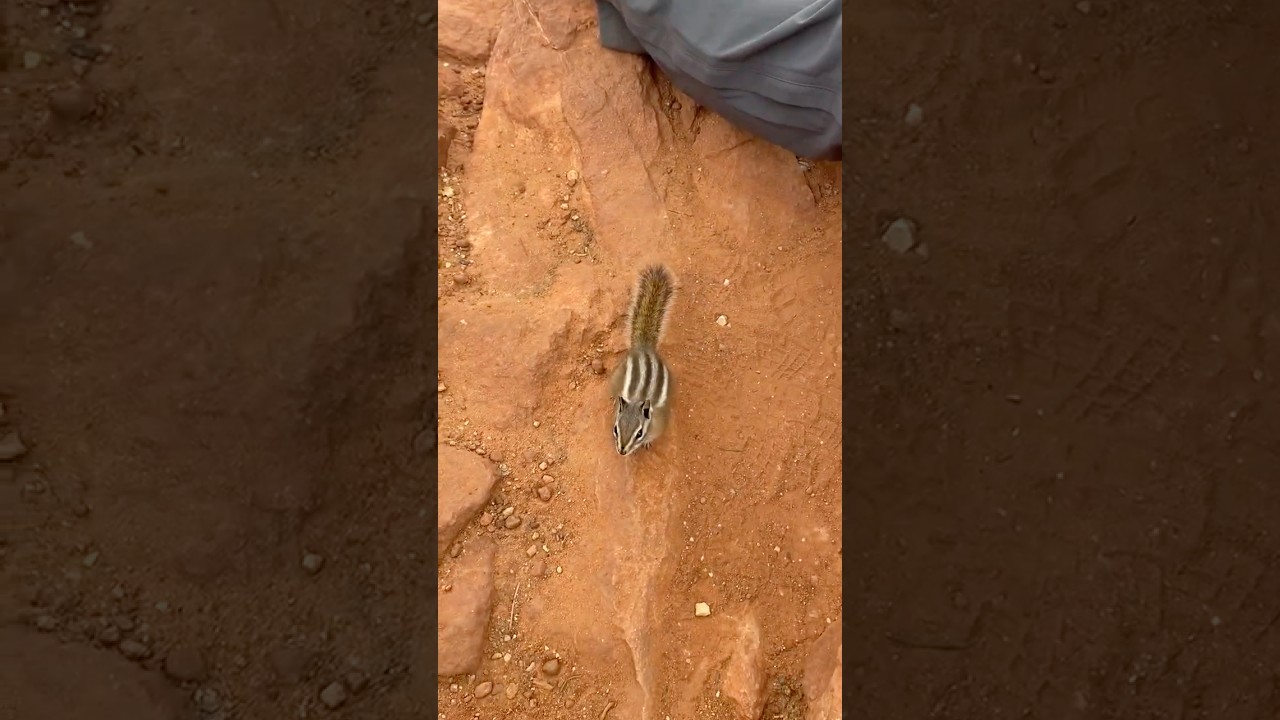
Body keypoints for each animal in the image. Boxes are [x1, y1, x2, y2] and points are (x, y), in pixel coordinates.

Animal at [610, 263, 677, 456]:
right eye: (616, 429)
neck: (637, 399)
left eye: (639, 433)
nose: (622, 451)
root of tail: (644, 348)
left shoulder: (659, 424)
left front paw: (647, 443)